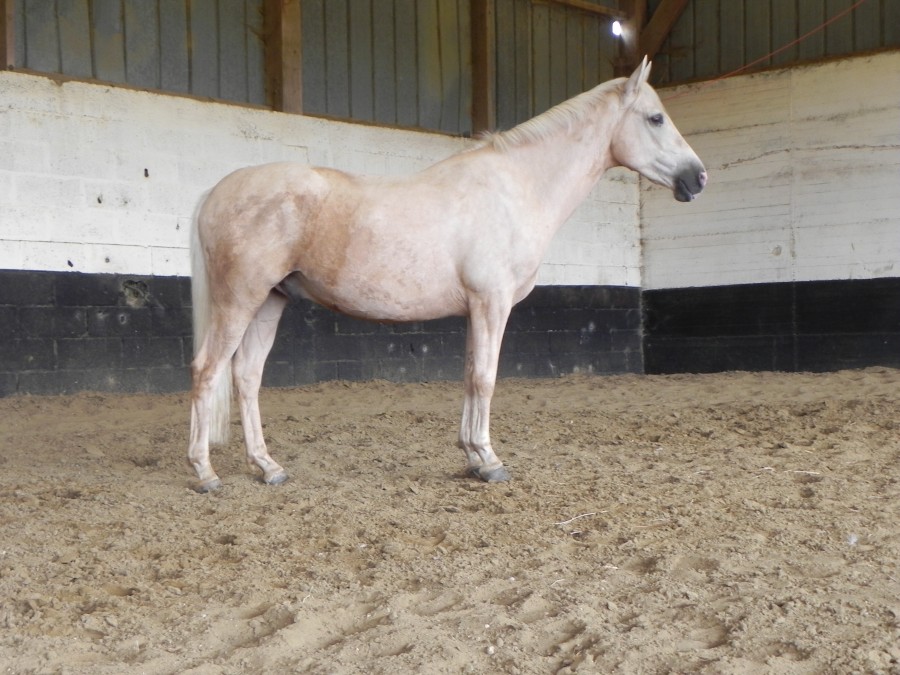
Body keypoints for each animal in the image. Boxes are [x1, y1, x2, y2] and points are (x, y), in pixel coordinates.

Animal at [187, 57, 706, 492]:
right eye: (655, 118)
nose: (697, 177)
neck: (516, 187)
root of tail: (216, 190)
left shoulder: (476, 309)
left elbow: (470, 375)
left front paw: (472, 455)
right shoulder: (492, 303)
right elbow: (486, 378)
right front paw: (490, 461)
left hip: (270, 301)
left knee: (246, 376)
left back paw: (267, 467)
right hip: (239, 301)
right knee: (207, 370)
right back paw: (205, 473)